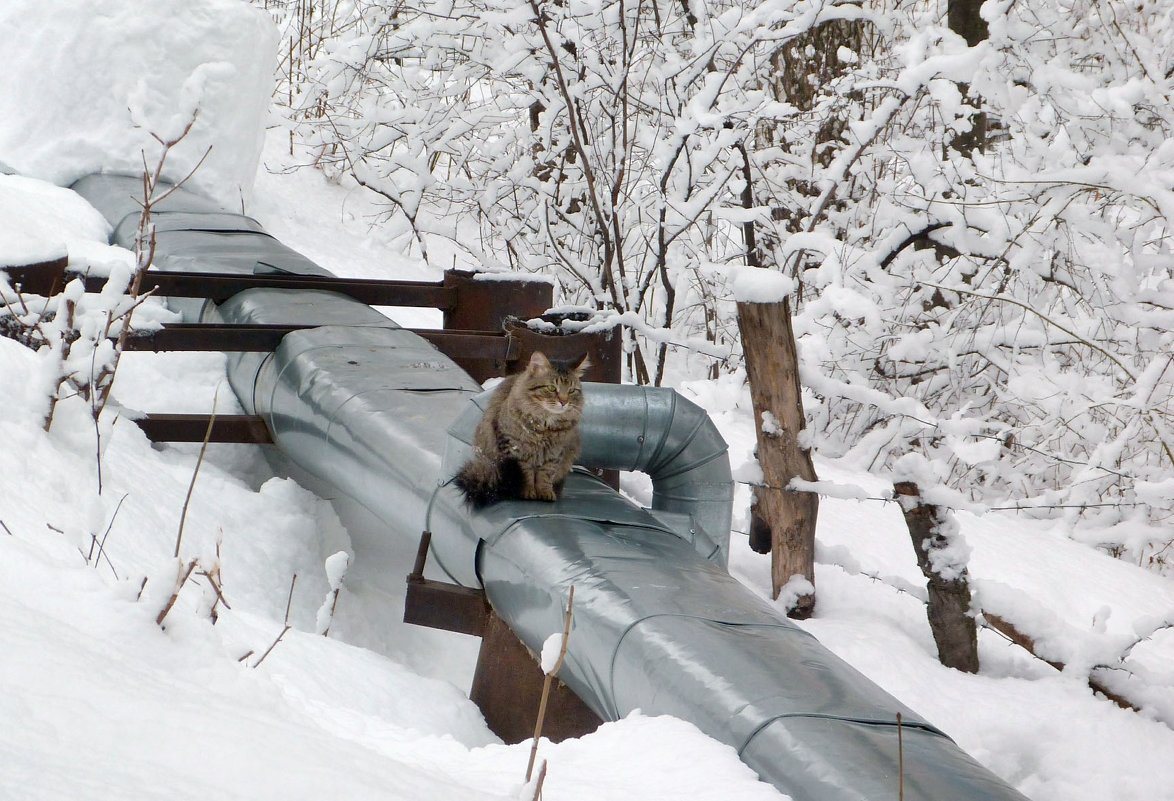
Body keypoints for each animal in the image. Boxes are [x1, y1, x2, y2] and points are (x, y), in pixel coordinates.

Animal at [453, 349, 591, 505]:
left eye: (571, 390)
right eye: (551, 388)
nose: (564, 402)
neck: (545, 425)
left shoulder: (555, 452)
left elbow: (545, 475)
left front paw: (545, 493)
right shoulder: (515, 448)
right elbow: (527, 474)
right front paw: (528, 492)